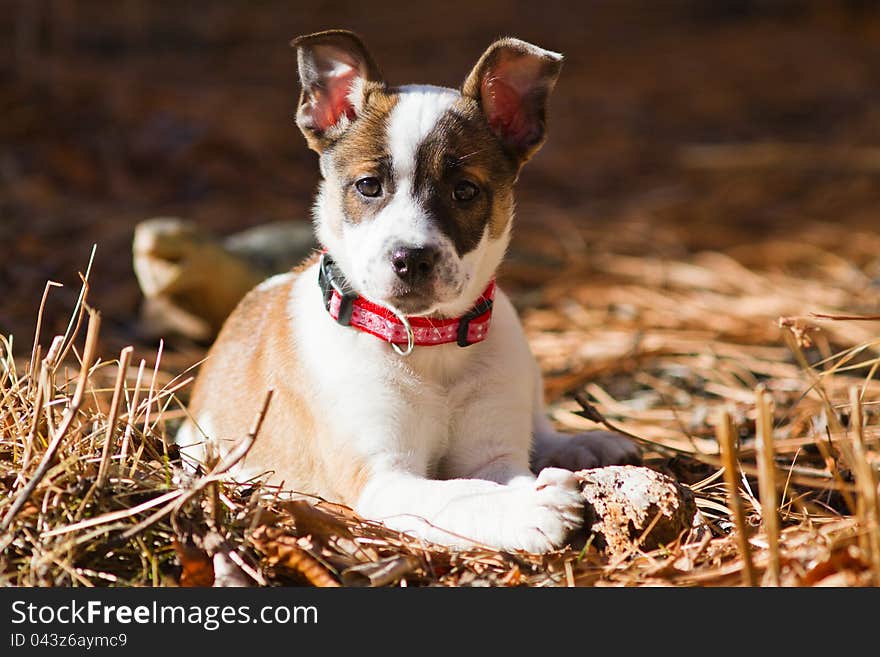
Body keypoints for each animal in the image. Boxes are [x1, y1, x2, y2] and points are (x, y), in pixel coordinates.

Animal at [179, 30, 644, 552]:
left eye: (465, 191)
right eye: (368, 186)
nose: (412, 259)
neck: (426, 342)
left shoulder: (493, 455)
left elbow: (485, 477)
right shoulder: (386, 477)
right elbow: (460, 493)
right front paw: (530, 509)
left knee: (539, 425)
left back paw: (586, 442)